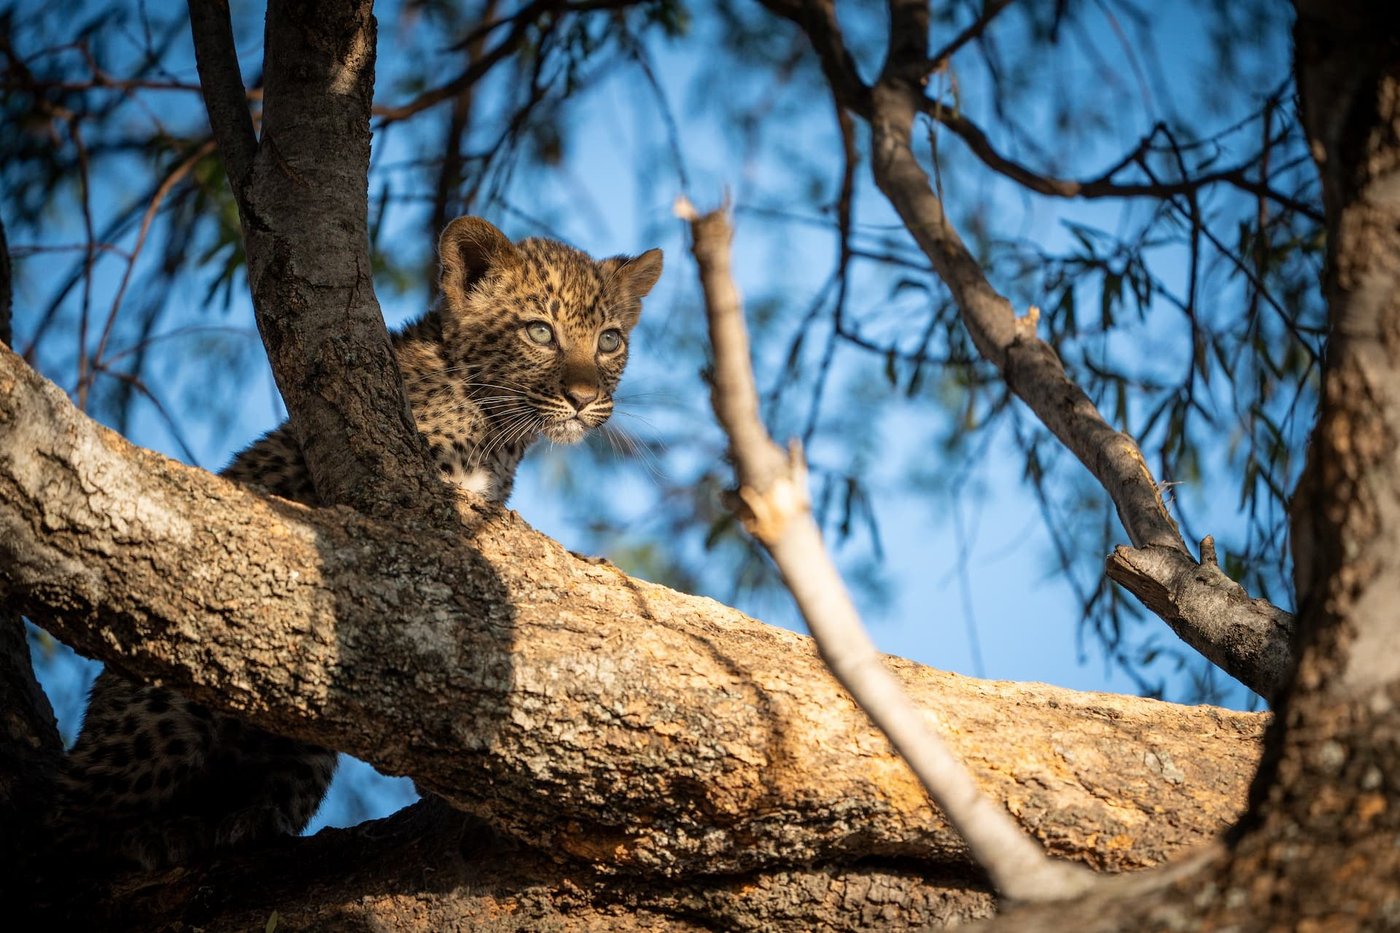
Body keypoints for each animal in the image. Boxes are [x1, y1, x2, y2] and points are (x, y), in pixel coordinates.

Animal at [55, 216, 663, 869]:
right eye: (540, 332)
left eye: (609, 341)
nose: (583, 398)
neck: (497, 434)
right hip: (164, 708)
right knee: (65, 812)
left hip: (307, 754)